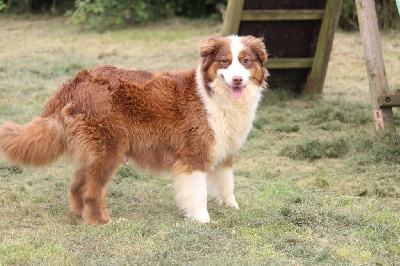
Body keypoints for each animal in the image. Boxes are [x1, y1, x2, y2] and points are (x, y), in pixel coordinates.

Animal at [0, 34, 268, 223]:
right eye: (225, 61)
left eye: (246, 61)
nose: (237, 79)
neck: (213, 93)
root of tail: (77, 80)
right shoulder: (194, 155)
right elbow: (198, 192)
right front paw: (202, 219)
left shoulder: (224, 151)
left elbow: (227, 184)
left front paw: (232, 208)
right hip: (109, 150)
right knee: (92, 192)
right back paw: (102, 222)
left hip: (91, 151)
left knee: (76, 187)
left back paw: (79, 215)